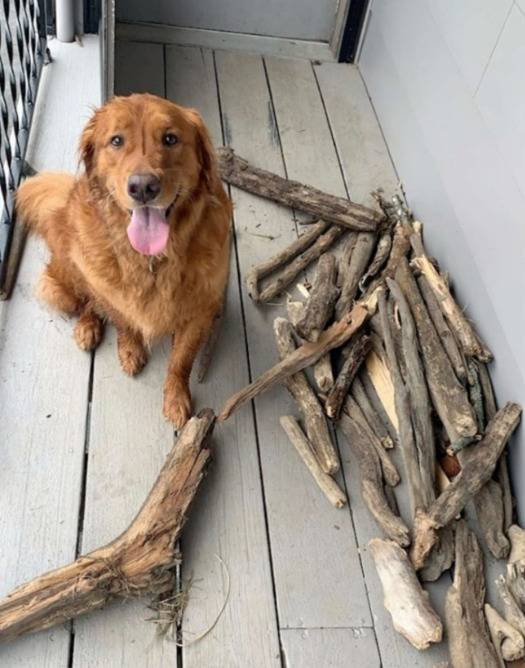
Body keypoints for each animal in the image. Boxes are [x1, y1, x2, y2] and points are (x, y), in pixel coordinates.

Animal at [16, 93, 231, 427]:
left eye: (170, 139)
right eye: (116, 140)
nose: (143, 187)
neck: (152, 260)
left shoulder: (201, 310)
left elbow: (181, 360)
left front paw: (175, 398)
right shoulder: (111, 293)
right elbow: (123, 321)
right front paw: (130, 350)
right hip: (66, 281)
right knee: (86, 301)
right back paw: (87, 326)